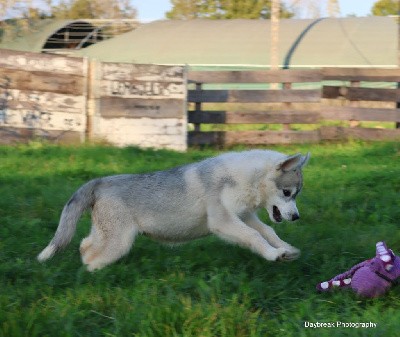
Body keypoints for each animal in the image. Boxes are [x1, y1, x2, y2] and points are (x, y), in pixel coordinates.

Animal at [37, 150, 310, 270]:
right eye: (288, 193)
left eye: (297, 194)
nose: (296, 217)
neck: (243, 178)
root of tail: (100, 181)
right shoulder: (223, 221)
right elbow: (255, 236)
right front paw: (274, 255)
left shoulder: (244, 216)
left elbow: (267, 232)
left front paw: (286, 249)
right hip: (119, 241)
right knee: (91, 257)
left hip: (107, 233)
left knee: (85, 245)